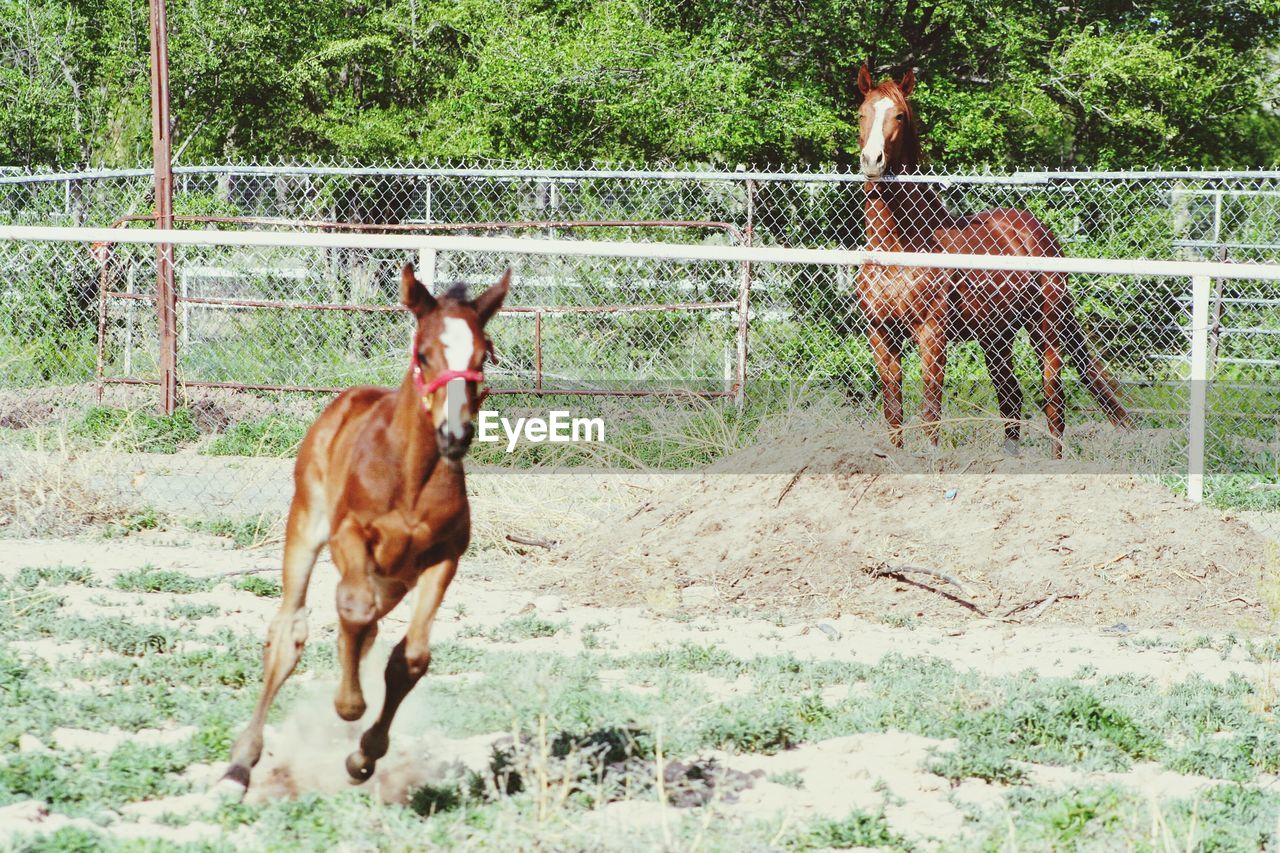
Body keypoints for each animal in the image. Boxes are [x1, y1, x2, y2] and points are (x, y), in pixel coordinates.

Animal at [217, 261, 506, 799]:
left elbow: (409, 658)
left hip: (394, 578)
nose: (456, 434)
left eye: (484, 355)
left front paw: (363, 756)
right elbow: (350, 610)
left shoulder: (444, 557)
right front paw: (349, 707)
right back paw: (239, 766)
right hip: (307, 526)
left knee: (366, 631)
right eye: (423, 353)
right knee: (290, 631)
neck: (409, 476)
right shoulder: (348, 534)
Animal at [855, 65, 1126, 455]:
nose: (872, 161)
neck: (898, 249)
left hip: (1046, 328)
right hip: (996, 336)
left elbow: (931, 410)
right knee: (1010, 397)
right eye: (862, 113)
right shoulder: (880, 334)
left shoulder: (931, 334)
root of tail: (1041, 233)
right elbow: (894, 412)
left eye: (900, 115)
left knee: (1054, 401)